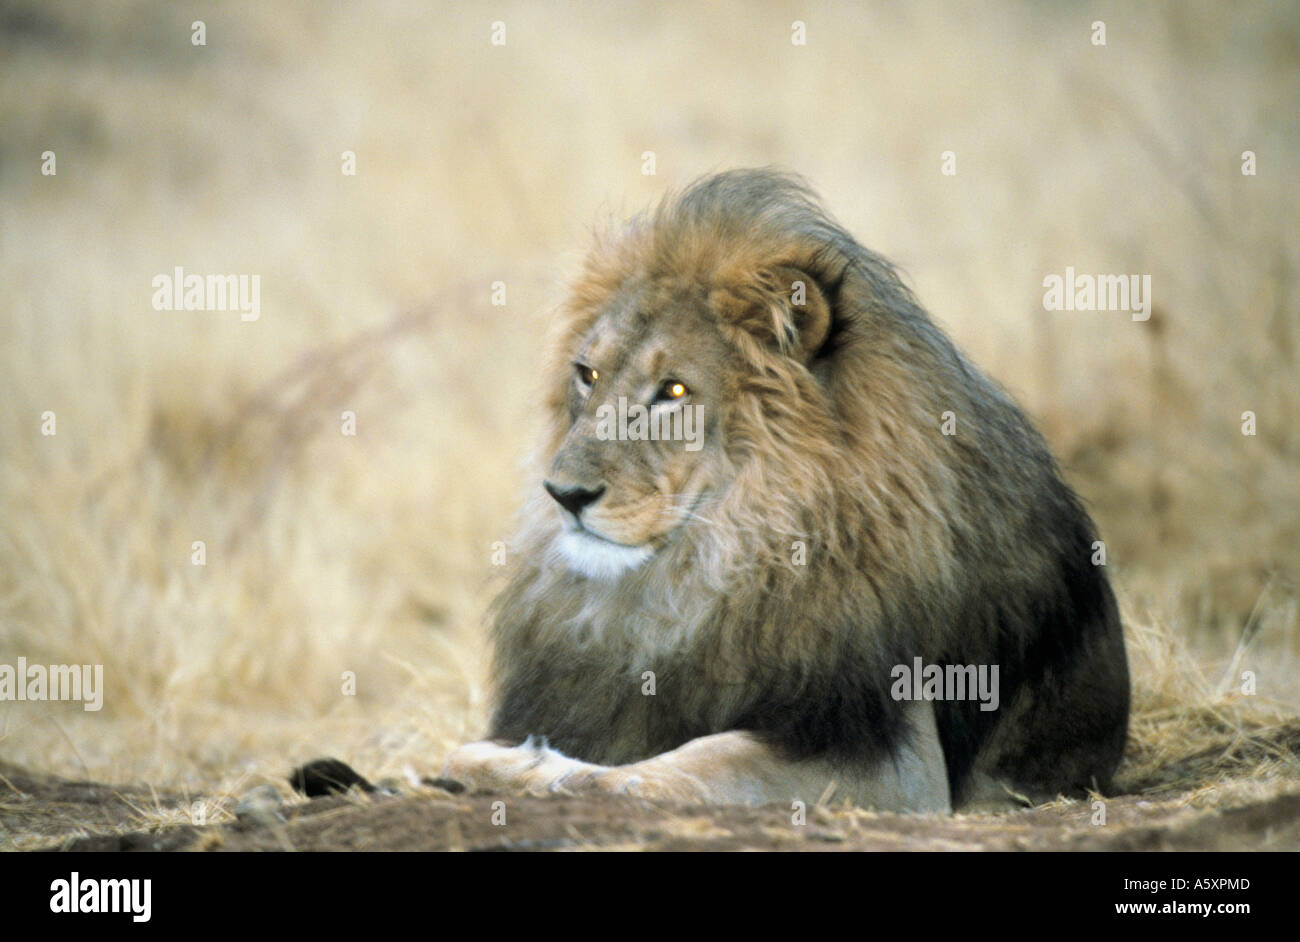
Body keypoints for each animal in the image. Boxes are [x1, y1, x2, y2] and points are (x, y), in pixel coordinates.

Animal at [441, 169, 1130, 812]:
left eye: (674, 391)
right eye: (587, 374)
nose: (563, 493)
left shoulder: (899, 763)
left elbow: (703, 759)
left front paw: (536, 771)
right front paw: (494, 760)